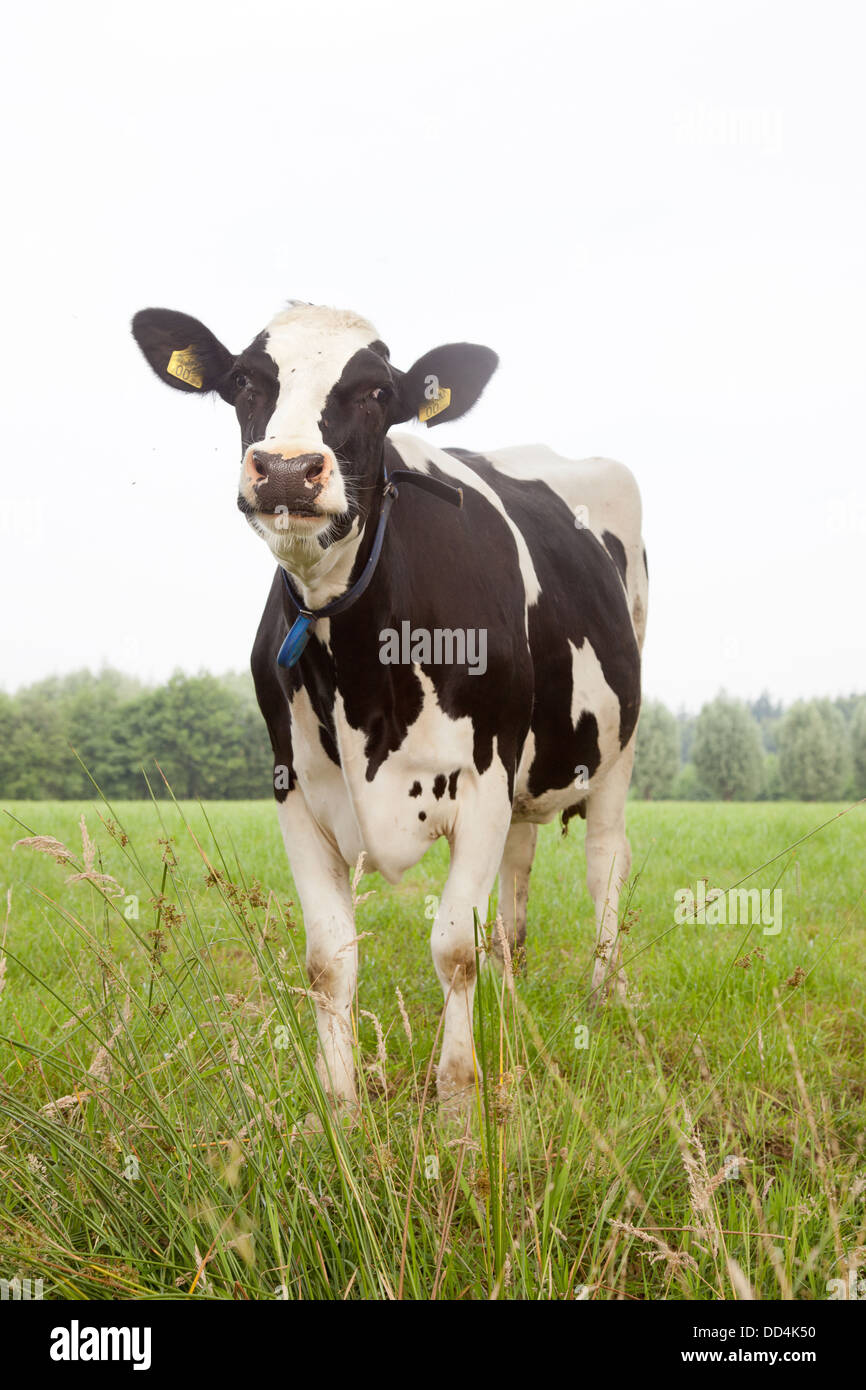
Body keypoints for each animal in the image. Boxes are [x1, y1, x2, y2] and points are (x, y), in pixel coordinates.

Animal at [131, 301, 647, 1116]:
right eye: (243, 381)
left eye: (376, 391)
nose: (287, 468)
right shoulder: (295, 792)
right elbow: (328, 960)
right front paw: (339, 1106)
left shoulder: (483, 779)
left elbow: (454, 948)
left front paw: (459, 1102)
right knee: (517, 876)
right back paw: (511, 1000)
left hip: (616, 750)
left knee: (604, 864)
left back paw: (605, 995)